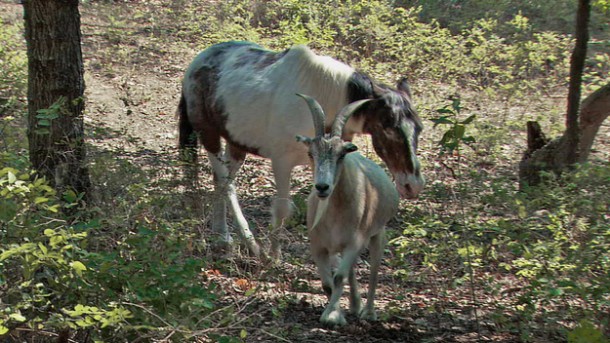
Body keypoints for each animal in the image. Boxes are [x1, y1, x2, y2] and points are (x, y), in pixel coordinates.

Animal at [178, 41, 420, 258]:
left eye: (418, 128)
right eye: (389, 128)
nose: (413, 184)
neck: (327, 97)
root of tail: (196, 63)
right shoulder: (282, 162)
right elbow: (283, 208)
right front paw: (273, 257)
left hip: (236, 143)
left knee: (221, 181)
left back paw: (222, 236)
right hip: (209, 135)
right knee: (225, 182)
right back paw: (249, 243)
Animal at [294, 94, 400, 328]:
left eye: (341, 155)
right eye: (310, 153)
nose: (322, 187)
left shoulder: (355, 242)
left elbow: (339, 277)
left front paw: (332, 316)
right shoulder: (319, 246)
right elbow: (328, 283)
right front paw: (337, 312)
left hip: (377, 233)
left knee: (374, 270)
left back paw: (368, 312)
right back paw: (354, 305)